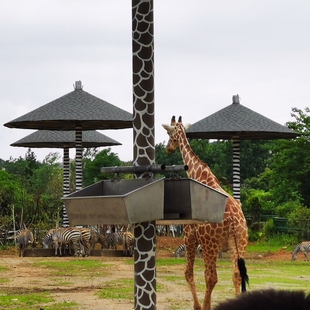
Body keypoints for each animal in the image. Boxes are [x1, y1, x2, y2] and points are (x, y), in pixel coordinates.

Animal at [163, 115, 248, 310]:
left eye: (169, 133)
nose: (168, 148)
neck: (198, 174)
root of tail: (234, 220)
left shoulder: (189, 235)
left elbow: (188, 272)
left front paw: (198, 306)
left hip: (211, 244)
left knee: (211, 277)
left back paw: (206, 305)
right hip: (239, 241)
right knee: (236, 274)